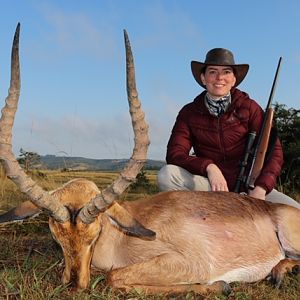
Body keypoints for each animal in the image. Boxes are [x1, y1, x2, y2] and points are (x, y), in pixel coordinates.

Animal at [0, 23, 300, 296]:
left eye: (95, 233)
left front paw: (220, 285)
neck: (121, 237)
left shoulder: (192, 263)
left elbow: (114, 277)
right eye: (55, 235)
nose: (74, 285)